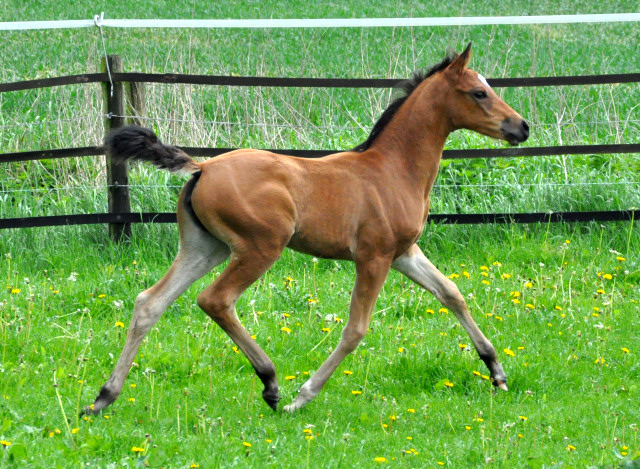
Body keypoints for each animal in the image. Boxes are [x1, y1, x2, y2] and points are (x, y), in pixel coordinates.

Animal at [87, 43, 532, 414]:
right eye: (478, 93)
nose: (522, 127)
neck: (392, 168)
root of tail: (203, 167)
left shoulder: (404, 253)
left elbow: (451, 294)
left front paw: (496, 371)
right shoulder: (374, 257)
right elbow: (355, 329)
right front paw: (304, 396)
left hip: (204, 248)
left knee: (150, 303)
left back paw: (103, 398)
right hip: (260, 247)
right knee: (215, 300)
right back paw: (270, 384)